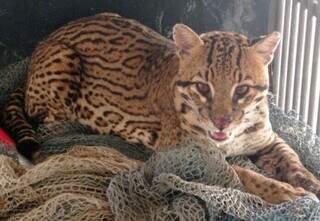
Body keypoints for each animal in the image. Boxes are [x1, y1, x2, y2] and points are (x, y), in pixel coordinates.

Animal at [2, 12, 320, 204]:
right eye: (202, 87)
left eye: (242, 89)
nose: (221, 123)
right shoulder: (189, 156)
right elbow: (244, 174)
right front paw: (286, 193)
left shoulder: (268, 139)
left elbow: (292, 160)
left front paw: (310, 182)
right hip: (63, 62)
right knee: (47, 116)